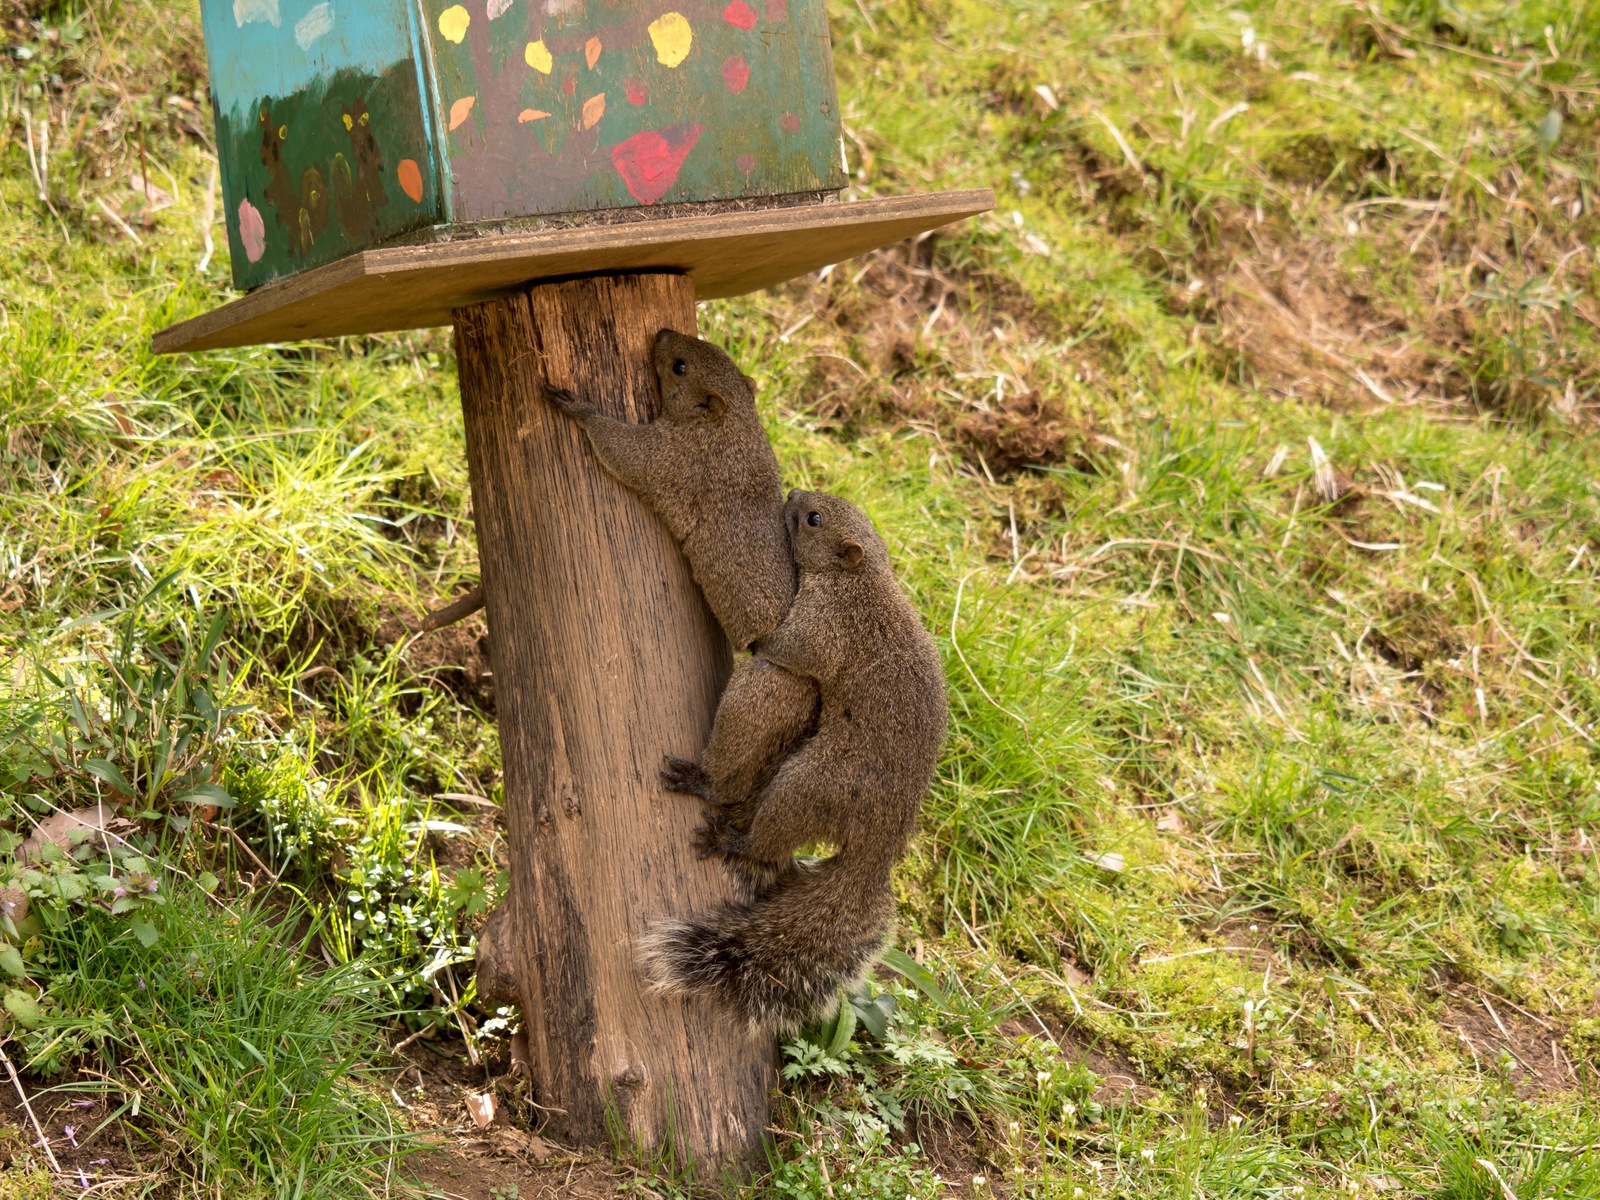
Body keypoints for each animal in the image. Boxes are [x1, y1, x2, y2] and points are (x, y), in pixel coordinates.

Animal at [553, 334, 825, 832]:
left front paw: (576, 406)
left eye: (680, 366)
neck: (732, 424)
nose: (660, 332)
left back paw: (701, 781)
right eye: (702, 346)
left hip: (763, 696)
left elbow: (623, 451)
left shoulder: (672, 459)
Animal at [643, 492, 940, 1030]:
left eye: (813, 519)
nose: (795, 495)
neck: (860, 580)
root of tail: (876, 849)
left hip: (805, 785)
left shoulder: (824, 628)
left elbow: (784, 647)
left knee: (765, 839)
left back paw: (725, 828)